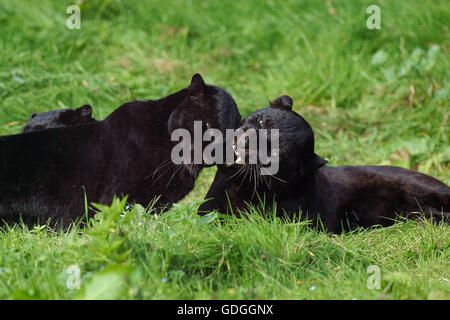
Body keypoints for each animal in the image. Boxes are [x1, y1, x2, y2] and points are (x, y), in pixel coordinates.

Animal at [200, 95, 450, 232]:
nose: (247, 141)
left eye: (276, 151)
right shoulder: (208, 213)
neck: (245, 187)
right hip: (415, 213)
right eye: (261, 121)